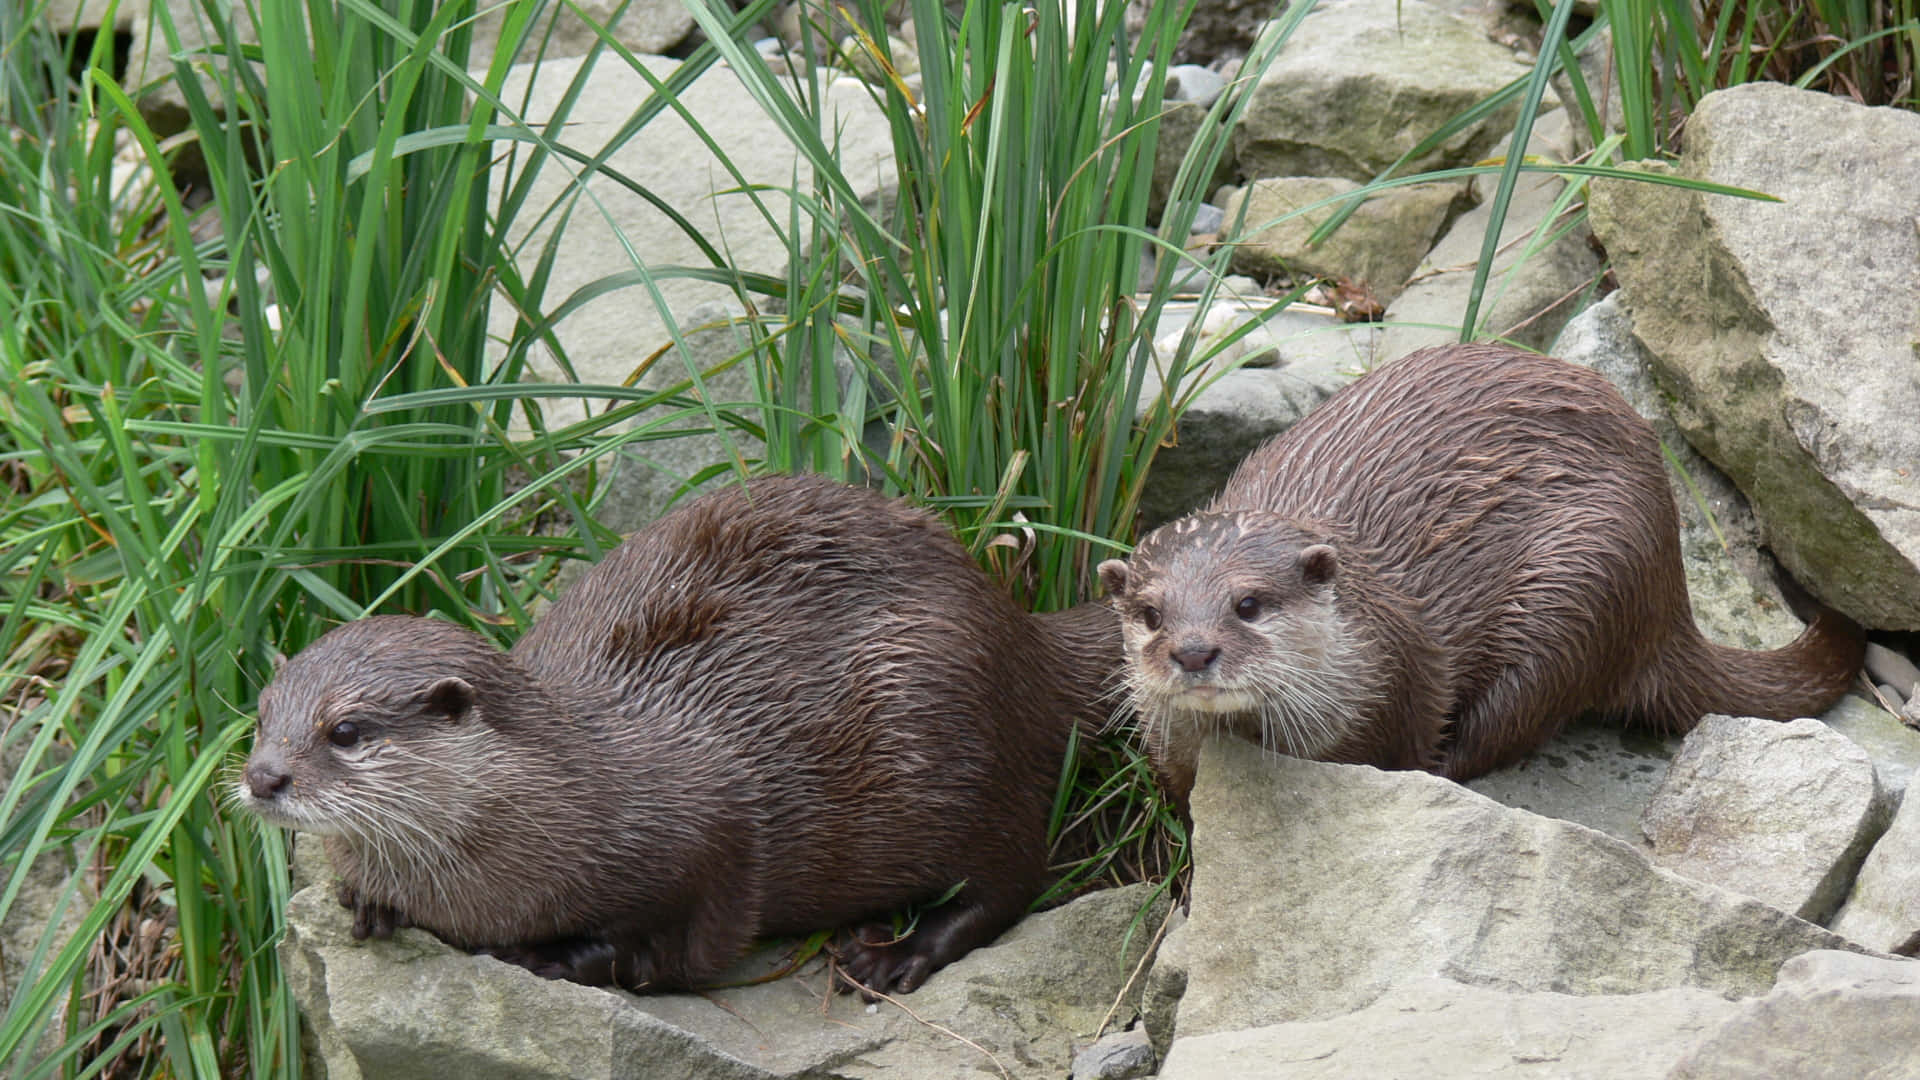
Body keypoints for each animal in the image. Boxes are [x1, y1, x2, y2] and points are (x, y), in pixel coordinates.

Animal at [238, 473, 1118, 996]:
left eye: (346, 730)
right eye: (262, 715)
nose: (262, 777)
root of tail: (1018, 630)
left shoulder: (705, 837)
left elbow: (677, 944)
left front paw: (556, 956)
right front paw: (369, 900)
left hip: (949, 728)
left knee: (1015, 874)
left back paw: (894, 955)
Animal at [1099, 343, 1864, 800]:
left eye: (1249, 604)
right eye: (1152, 614)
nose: (1193, 652)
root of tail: (1668, 597)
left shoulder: (1399, 691)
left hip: (1581, 588)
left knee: (1507, 724)